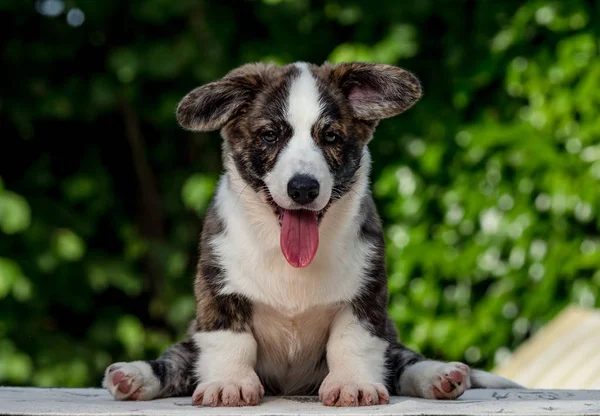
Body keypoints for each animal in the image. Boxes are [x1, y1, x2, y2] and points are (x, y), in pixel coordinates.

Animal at [102, 61, 520, 406]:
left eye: (331, 138)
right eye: (270, 136)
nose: (303, 188)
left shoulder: (365, 297)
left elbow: (352, 343)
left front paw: (354, 385)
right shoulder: (219, 291)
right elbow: (229, 342)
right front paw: (228, 384)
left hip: (390, 333)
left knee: (401, 362)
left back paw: (440, 376)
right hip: (190, 340)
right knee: (177, 362)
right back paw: (133, 377)